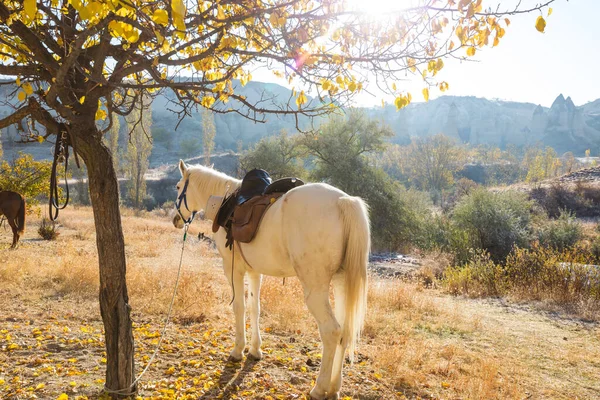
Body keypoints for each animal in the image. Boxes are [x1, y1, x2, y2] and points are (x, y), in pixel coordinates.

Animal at [172, 161, 370, 398]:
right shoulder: (254, 272)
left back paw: (319, 388)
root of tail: (343, 201)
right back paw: (334, 388)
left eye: (178, 187)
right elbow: (254, 307)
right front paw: (255, 350)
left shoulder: (233, 270)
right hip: (342, 284)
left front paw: (238, 350)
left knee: (331, 331)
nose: (175, 219)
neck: (225, 201)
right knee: (345, 333)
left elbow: (239, 307)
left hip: (316, 290)